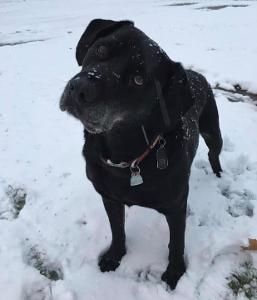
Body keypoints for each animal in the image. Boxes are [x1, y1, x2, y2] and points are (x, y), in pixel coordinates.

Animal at [59, 18, 221, 288]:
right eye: (101, 50)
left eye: (138, 79)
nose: (80, 88)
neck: (126, 156)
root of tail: (195, 74)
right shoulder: (109, 197)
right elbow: (117, 231)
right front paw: (114, 257)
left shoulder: (177, 205)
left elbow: (176, 244)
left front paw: (174, 273)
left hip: (212, 131)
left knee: (214, 154)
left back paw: (218, 174)